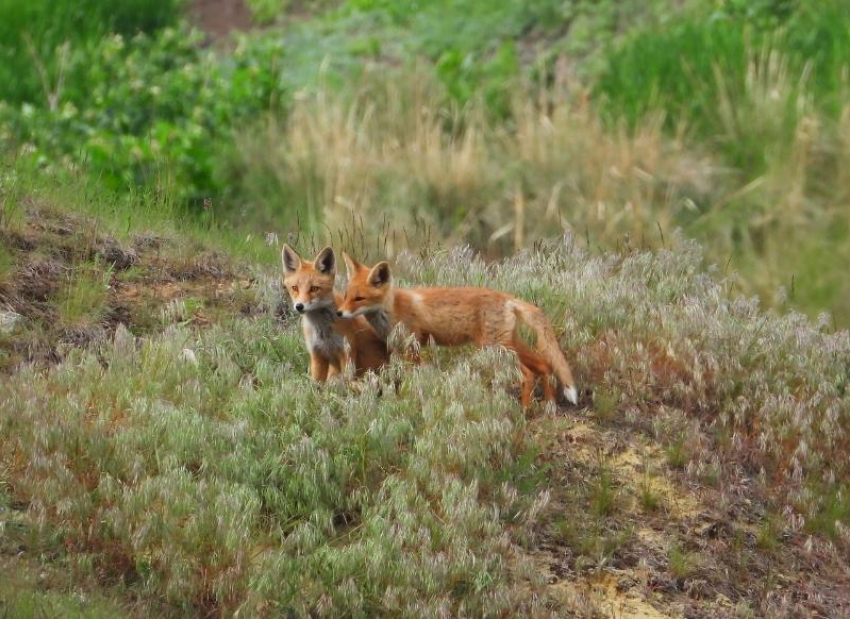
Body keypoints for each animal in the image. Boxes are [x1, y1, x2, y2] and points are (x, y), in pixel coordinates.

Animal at [282, 245, 388, 380]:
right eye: (295, 288)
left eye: (314, 288)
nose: (299, 306)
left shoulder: (346, 352)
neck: (322, 330)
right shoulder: (317, 354)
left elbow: (347, 380)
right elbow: (316, 382)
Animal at [338, 254, 576, 410]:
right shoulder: (398, 349)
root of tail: (507, 298)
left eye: (359, 299)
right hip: (509, 345)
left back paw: (525, 411)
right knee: (544, 365)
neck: (393, 309)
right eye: (347, 295)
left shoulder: (413, 349)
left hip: (495, 349)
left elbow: (413, 380)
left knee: (527, 374)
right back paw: (549, 406)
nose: (339, 313)